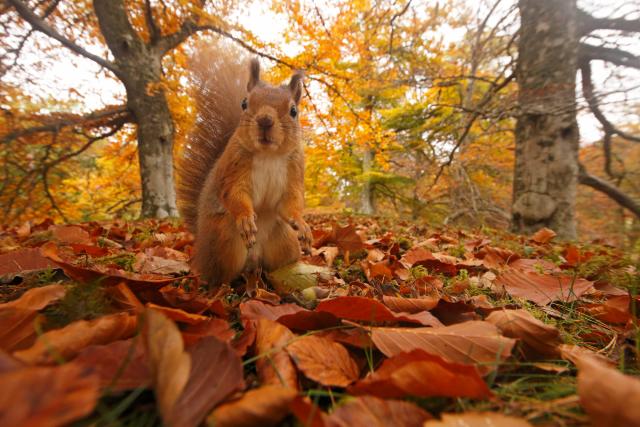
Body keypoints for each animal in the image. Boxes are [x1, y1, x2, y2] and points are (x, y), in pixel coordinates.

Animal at [177, 48, 312, 287]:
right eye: (244, 103)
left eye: (294, 111)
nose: (265, 120)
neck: (268, 155)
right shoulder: (234, 167)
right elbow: (234, 194)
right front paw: (246, 218)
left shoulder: (294, 169)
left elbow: (290, 202)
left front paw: (301, 222)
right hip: (224, 240)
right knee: (220, 275)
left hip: (284, 240)